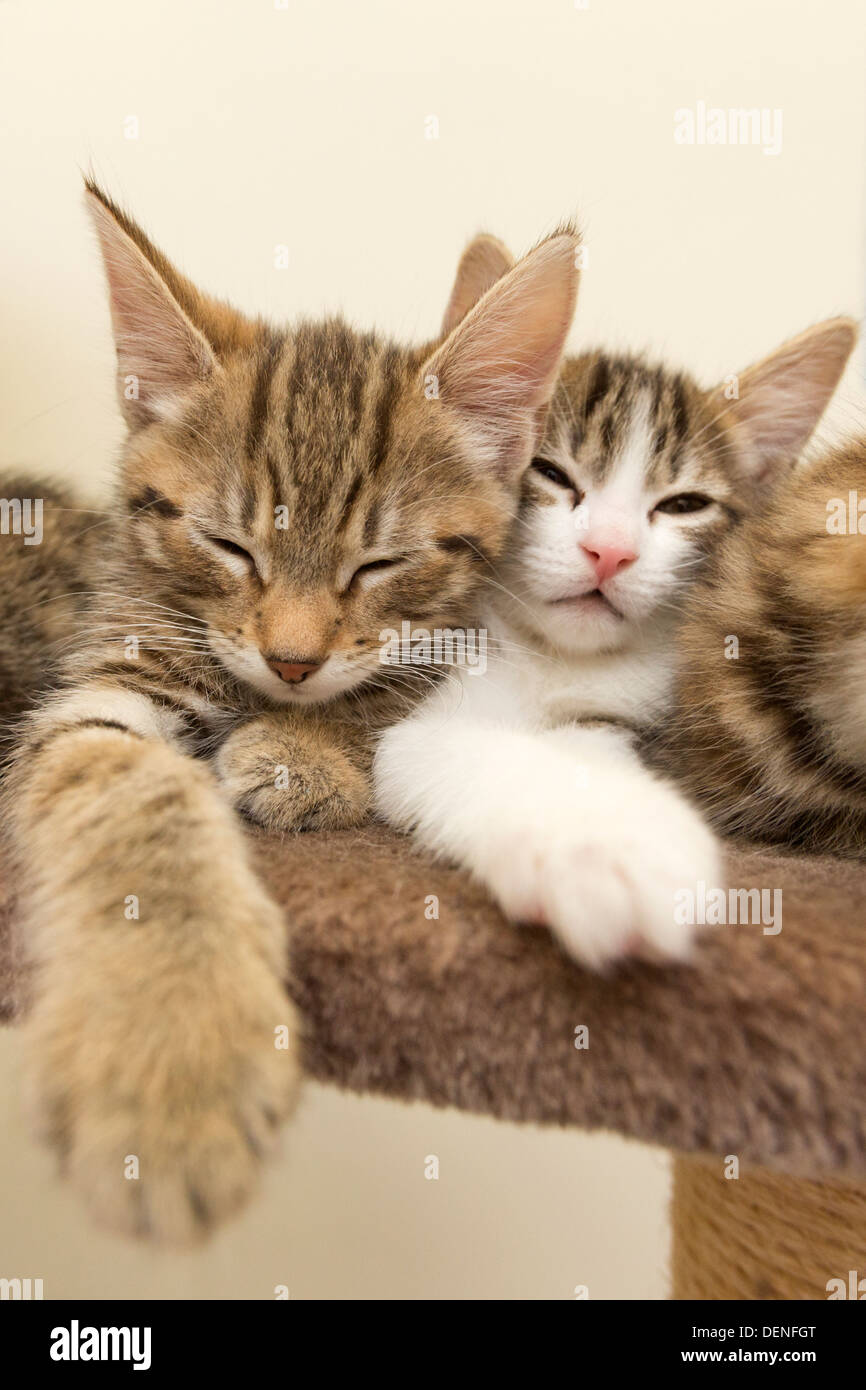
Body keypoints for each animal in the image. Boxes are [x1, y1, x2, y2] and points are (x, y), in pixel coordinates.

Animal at [3, 184, 578, 1239]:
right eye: (229, 546)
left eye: (381, 565)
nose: (293, 658)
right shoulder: (101, 686)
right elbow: (127, 786)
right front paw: (169, 1053)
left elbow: (399, 694)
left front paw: (308, 750)